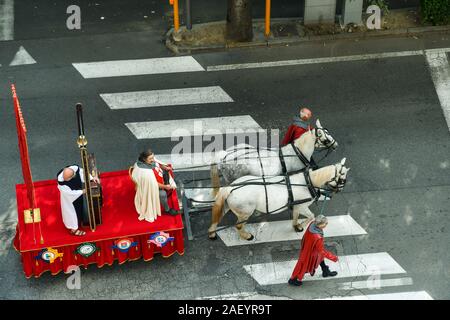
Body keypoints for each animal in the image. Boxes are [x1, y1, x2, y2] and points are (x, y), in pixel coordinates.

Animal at [207, 158, 348, 240]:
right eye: (342, 178)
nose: (340, 190)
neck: (308, 182)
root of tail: (230, 188)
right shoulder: (302, 206)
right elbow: (311, 217)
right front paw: (301, 225)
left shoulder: (297, 206)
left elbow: (296, 216)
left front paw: (296, 226)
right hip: (245, 213)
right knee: (239, 226)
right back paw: (246, 236)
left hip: (227, 206)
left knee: (217, 218)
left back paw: (212, 233)